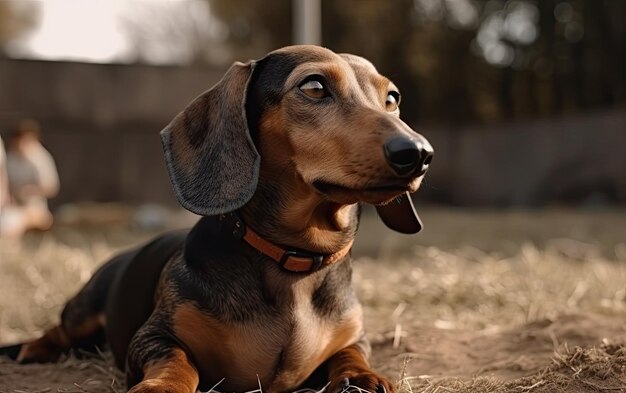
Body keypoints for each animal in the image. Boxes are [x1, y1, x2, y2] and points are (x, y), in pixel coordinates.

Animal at [0, 45, 432, 392]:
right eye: (313, 87)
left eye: (391, 97)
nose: (418, 153)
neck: (294, 260)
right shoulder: (154, 337)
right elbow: (177, 360)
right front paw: (162, 386)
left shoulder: (353, 338)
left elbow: (350, 354)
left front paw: (364, 377)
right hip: (84, 308)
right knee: (59, 329)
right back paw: (32, 348)